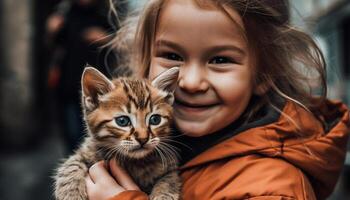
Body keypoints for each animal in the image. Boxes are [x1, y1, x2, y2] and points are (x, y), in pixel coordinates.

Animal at [54, 67, 183, 200]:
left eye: (155, 120)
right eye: (122, 121)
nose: (143, 139)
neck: (133, 161)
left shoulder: (170, 164)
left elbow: (169, 179)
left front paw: (163, 194)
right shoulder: (87, 151)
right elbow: (71, 165)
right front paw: (71, 193)